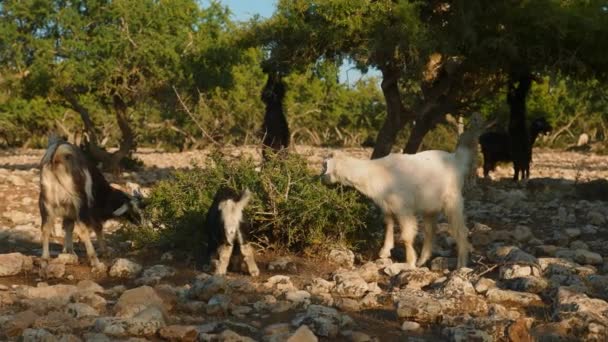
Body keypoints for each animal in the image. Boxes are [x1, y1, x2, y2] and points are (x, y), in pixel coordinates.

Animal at [40, 135, 145, 268]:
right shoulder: (91, 212)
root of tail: (57, 157)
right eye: (132, 210)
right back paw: (95, 261)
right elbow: (98, 228)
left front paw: (68, 252)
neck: (104, 195)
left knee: (45, 228)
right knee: (83, 230)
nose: (141, 224)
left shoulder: (69, 212)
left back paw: (44, 259)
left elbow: (68, 228)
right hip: (79, 203)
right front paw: (105, 251)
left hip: (46, 203)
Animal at [320, 113, 486, 268]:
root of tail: (456, 159)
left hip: (453, 200)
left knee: (461, 230)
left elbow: (406, 236)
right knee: (430, 231)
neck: (376, 173)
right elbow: (388, 225)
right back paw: (422, 260)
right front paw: (385, 251)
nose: (321, 179)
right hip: (430, 207)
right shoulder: (387, 206)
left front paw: (409, 262)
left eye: (324, 165)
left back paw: (461, 264)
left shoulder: (403, 208)